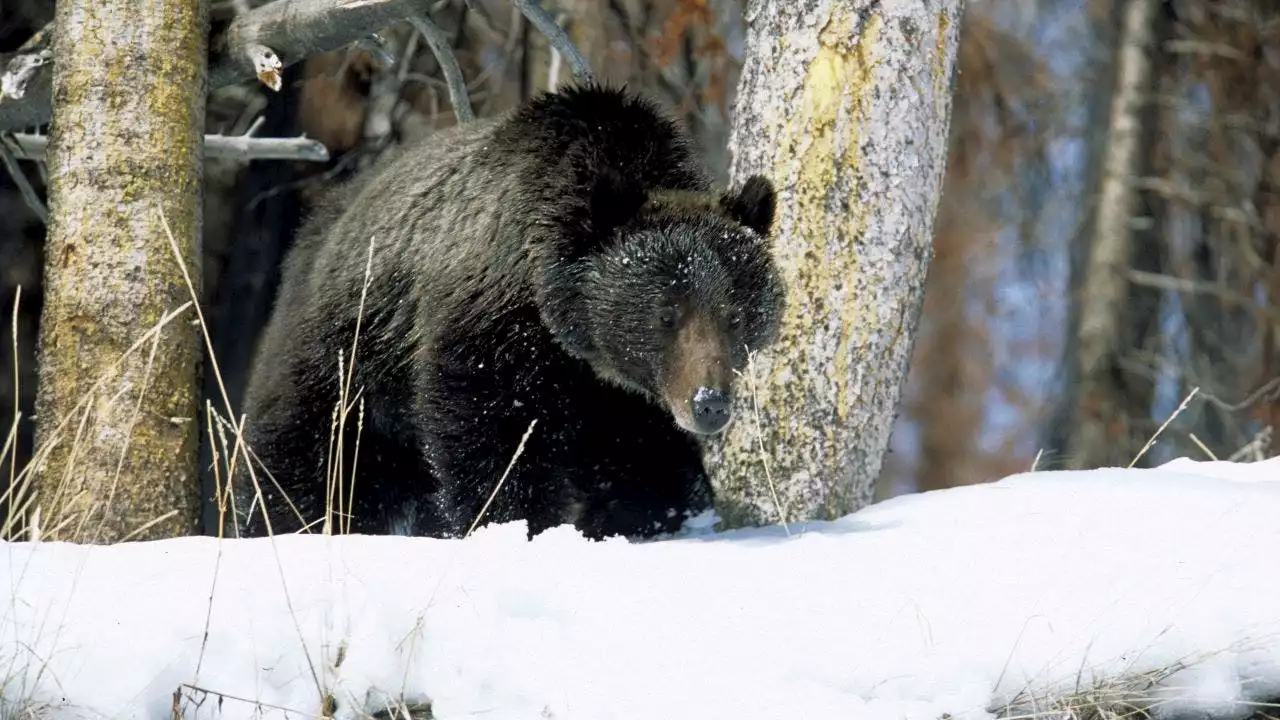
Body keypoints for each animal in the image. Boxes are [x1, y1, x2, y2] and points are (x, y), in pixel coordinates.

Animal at [235, 82, 783, 538]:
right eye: (667, 313)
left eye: (736, 315)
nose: (709, 403)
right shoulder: (491, 336)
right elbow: (492, 440)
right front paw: (512, 520)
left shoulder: (619, 396)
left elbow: (645, 458)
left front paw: (651, 514)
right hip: (346, 358)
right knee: (303, 453)